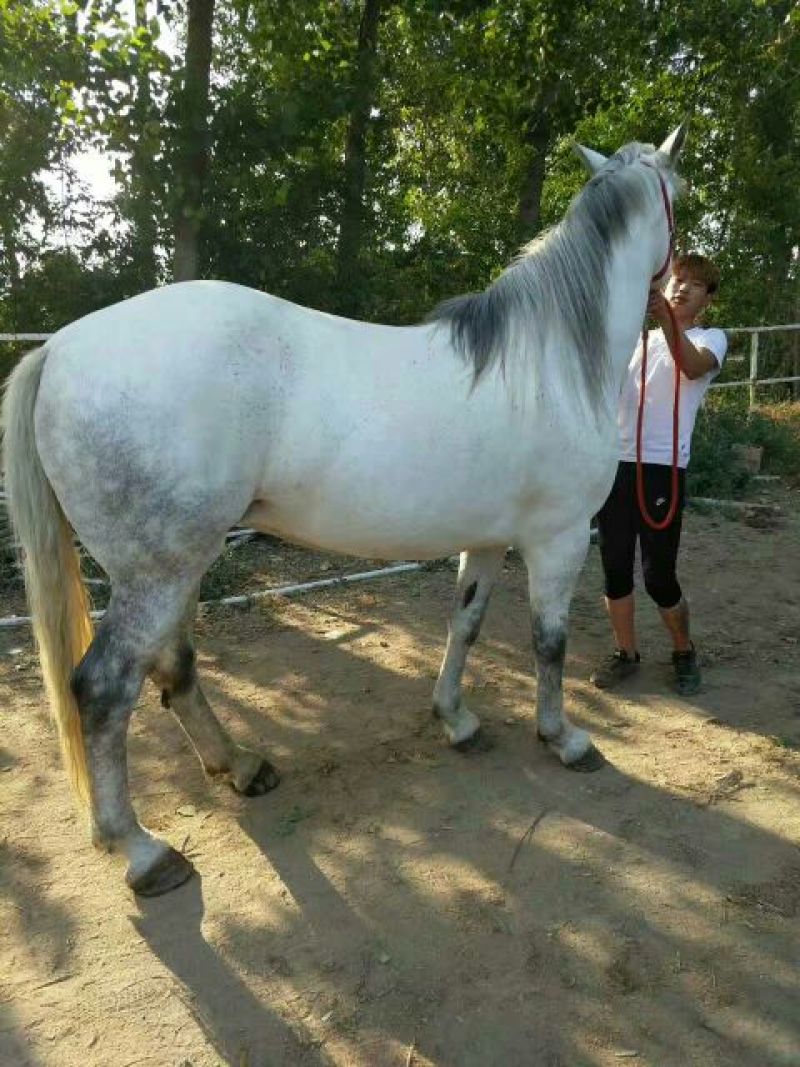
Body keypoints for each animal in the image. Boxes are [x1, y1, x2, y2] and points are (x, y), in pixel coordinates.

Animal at [2, 124, 687, 896]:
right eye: (682, 195)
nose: (693, 280)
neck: (553, 363)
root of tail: (60, 349)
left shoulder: (486, 540)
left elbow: (466, 625)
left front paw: (456, 720)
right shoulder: (559, 538)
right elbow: (550, 643)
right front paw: (563, 738)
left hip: (175, 568)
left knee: (174, 667)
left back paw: (240, 767)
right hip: (158, 573)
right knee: (105, 688)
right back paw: (143, 850)